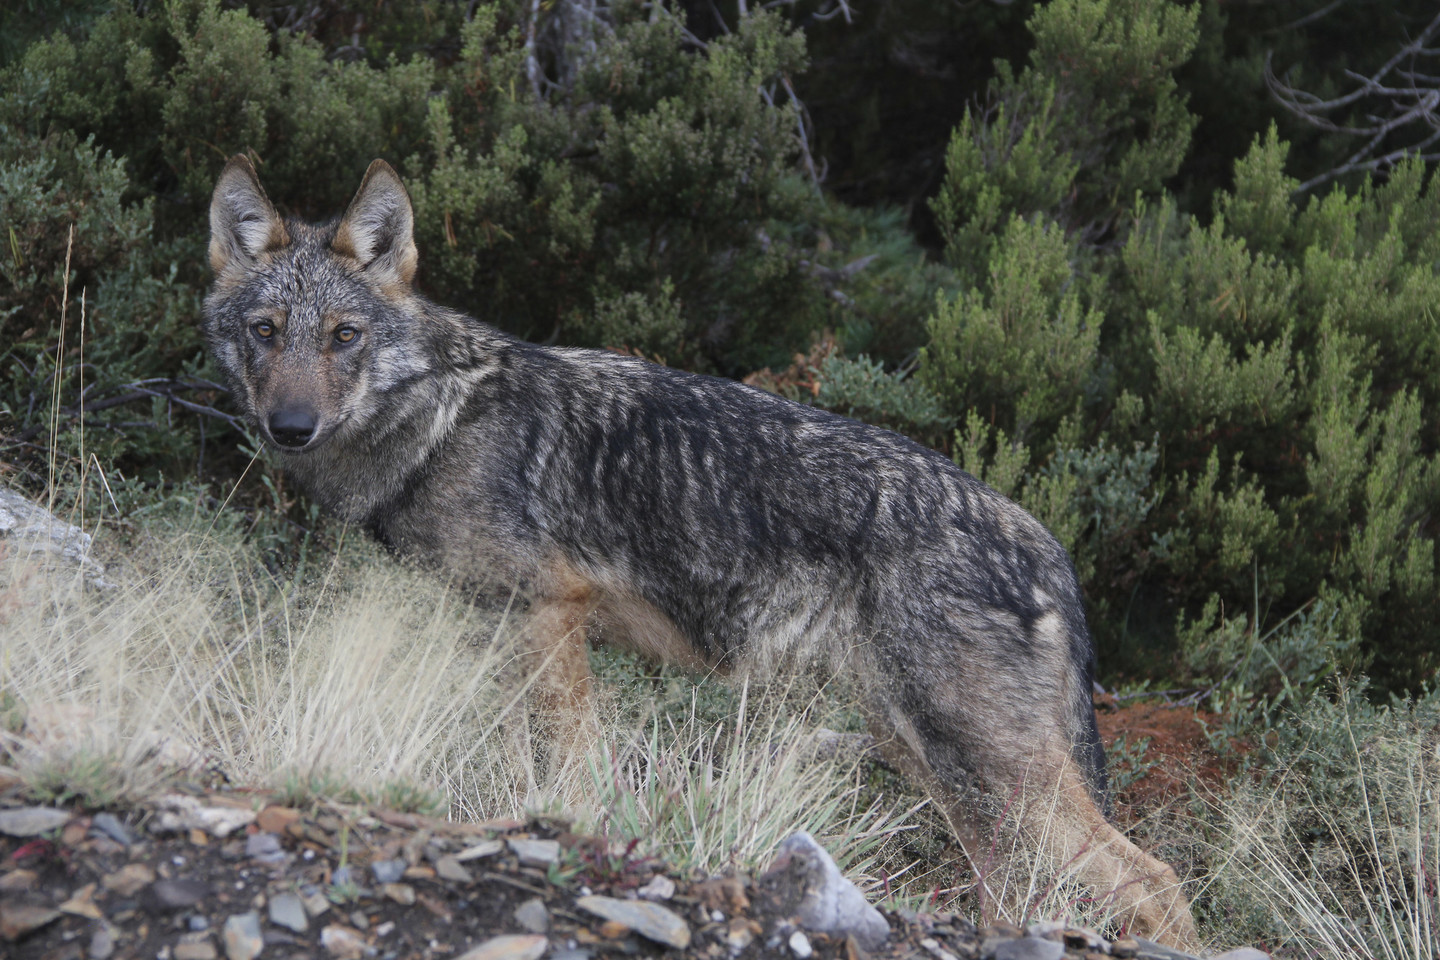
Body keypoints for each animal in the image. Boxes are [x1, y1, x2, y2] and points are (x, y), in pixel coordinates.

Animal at [200, 156, 1192, 944]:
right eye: (265, 333)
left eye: (345, 336)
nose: (290, 427)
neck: (440, 419)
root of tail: (1047, 545)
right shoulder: (493, 631)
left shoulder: (546, 618)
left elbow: (569, 772)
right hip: (944, 771)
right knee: (1022, 889)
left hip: (987, 770)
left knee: (1157, 881)